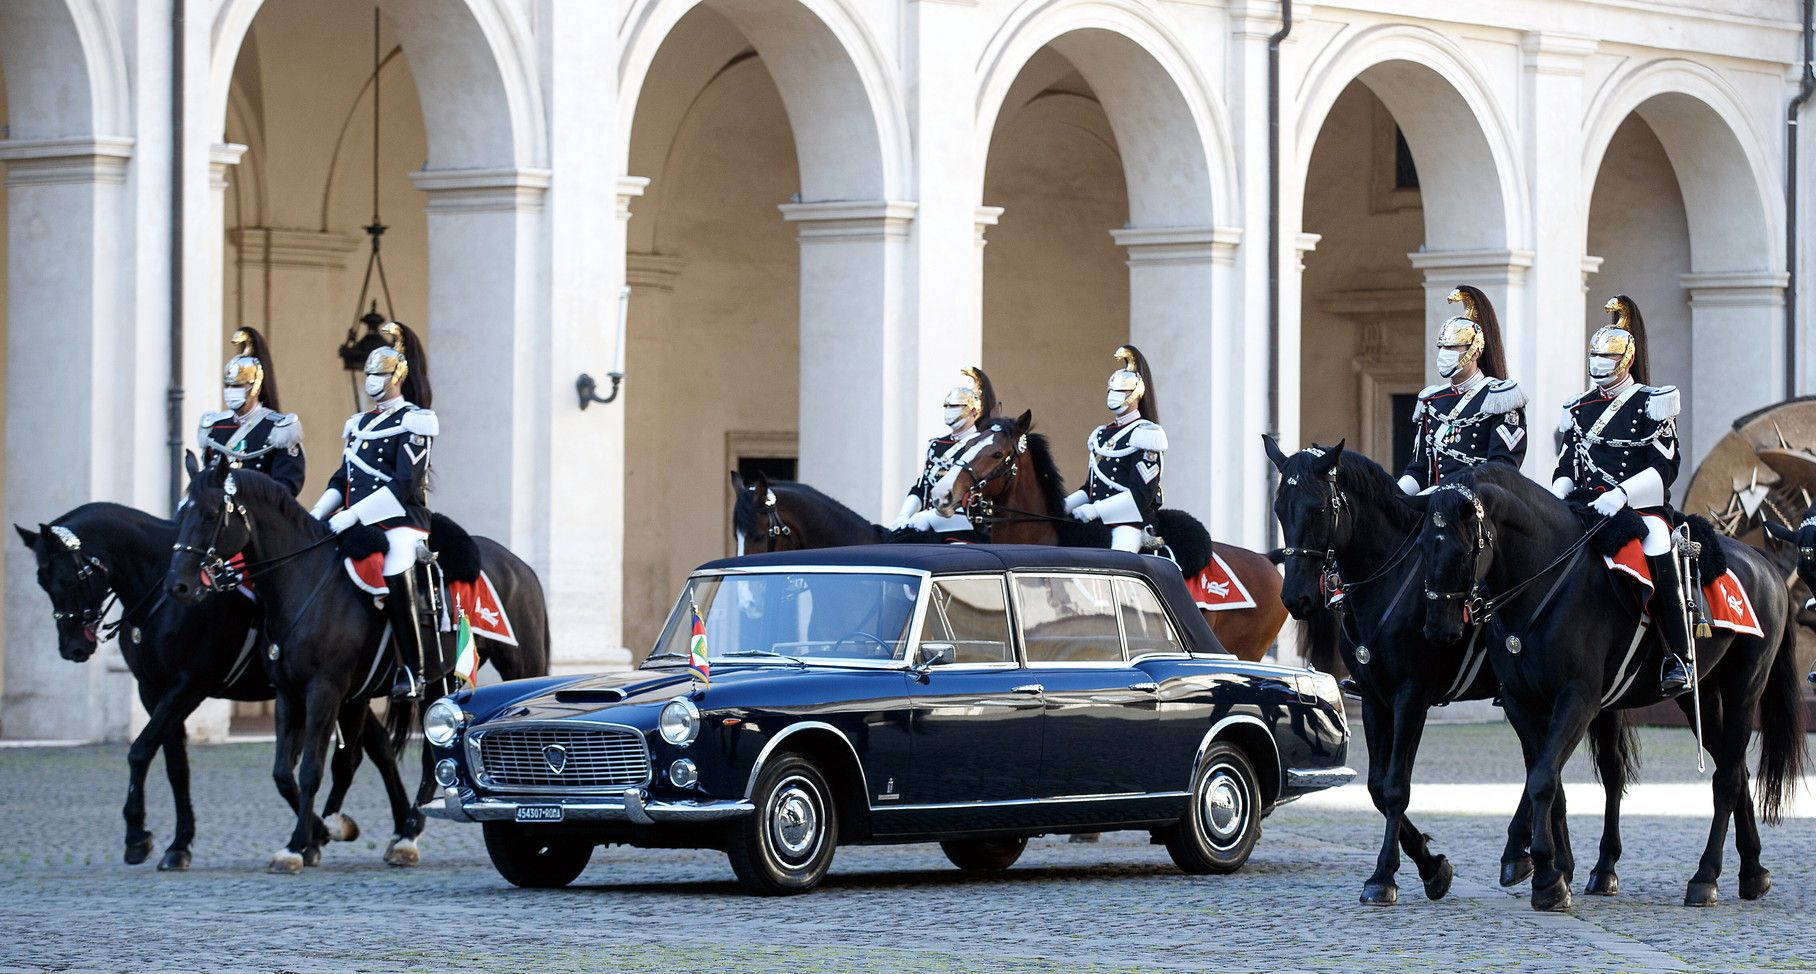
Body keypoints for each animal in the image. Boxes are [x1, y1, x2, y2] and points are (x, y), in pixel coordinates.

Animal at [14, 505, 403, 870]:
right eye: (41, 581)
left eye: (68, 578)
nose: (73, 649)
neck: (163, 592)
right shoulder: (152, 690)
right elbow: (176, 766)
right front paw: (178, 844)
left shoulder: (189, 685)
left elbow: (140, 750)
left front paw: (137, 836)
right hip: (345, 693)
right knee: (378, 749)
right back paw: (397, 827)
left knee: (365, 752)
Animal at [164, 457, 550, 872]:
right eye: (180, 513)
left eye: (210, 513)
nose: (179, 586)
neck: (303, 581)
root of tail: (519, 564)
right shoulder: (289, 693)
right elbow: (285, 772)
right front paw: (318, 833)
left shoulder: (325, 690)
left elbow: (312, 769)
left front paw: (299, 844)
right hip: (436, 679)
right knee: (429, 758)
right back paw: (407, 834)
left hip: (520, 667)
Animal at [1263, 438, 1635, 904]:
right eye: (1279, 507)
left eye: (1316, 508)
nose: (1295, 598)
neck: (1387, 581)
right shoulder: (1374, 697)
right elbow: (1376, 787)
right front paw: (1431, 865)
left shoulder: (1411, 695)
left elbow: (1395, 786)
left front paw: (1387, 876)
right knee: (1548, 767)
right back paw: (1537, 859)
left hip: (1599, 696)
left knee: (1609, 769)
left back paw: (1599, 867)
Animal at [1422, 464, 1806, 910]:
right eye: (1423, 547)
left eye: (1462, 549)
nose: (1439, 628)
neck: (1544, 581)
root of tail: (1765, 564)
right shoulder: (1522, 703)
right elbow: (1549, 780)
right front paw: (1553, 869)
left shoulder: (1579, 699)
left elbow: (1542, 779)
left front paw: (1547, 877)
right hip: (1703, 696)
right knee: (1735, 767)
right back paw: (1753, 872)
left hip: (1745, 688)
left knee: (1727, 777)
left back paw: (1705, 877)